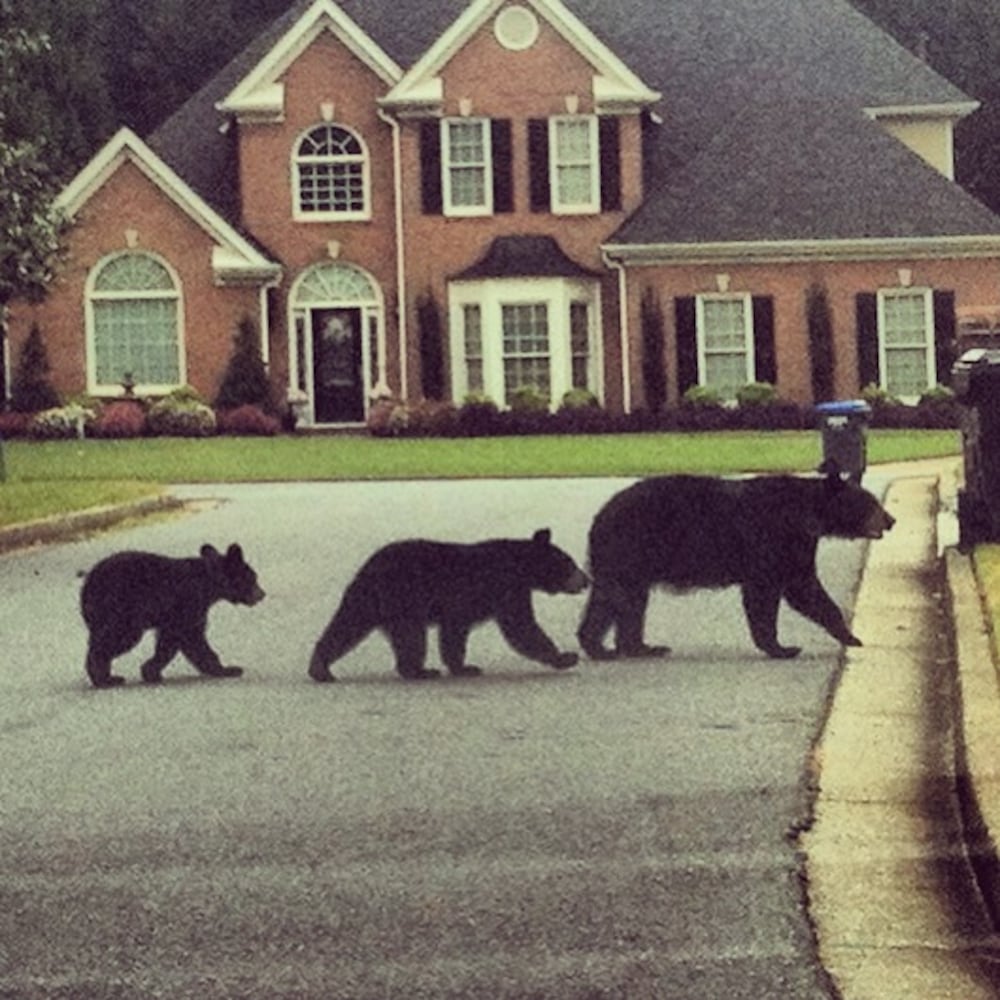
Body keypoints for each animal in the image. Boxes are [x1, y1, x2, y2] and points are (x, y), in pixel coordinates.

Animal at [80, 548, 266, 688]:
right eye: (253, 578)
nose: (262, 594)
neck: (207, 583)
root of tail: (88, 583)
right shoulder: (189, 604)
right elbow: (190, 638)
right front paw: (227, 669)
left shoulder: (175, 615)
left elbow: (170, 640)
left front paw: (150, 671)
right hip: (122, 611)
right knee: (114, 640)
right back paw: (104, 679)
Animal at [308, 528, 588, 684]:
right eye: (571, 563)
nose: (587, 579)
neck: (520, 566)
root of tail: (367, 569)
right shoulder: (505, 586)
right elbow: (521, 627)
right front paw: (565, 657)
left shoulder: (461, 607)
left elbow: (455, 633)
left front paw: (463, 667)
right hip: (403, 600)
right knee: (411, 636)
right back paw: (419, 670)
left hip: (366, 600)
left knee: (346, 625)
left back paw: (320, 668)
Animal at [584, 472, 896, 660]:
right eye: (869, 502)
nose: (891, 519)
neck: (806, 513)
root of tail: (599, 517)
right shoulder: (775, 537)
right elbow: (771, 593)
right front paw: (782, 648)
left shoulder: (799, 545)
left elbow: (803, 588)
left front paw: (849, 636)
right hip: (628, 550)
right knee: (615, 598)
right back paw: (602, 648)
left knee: (629, 602)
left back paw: (638, 647)